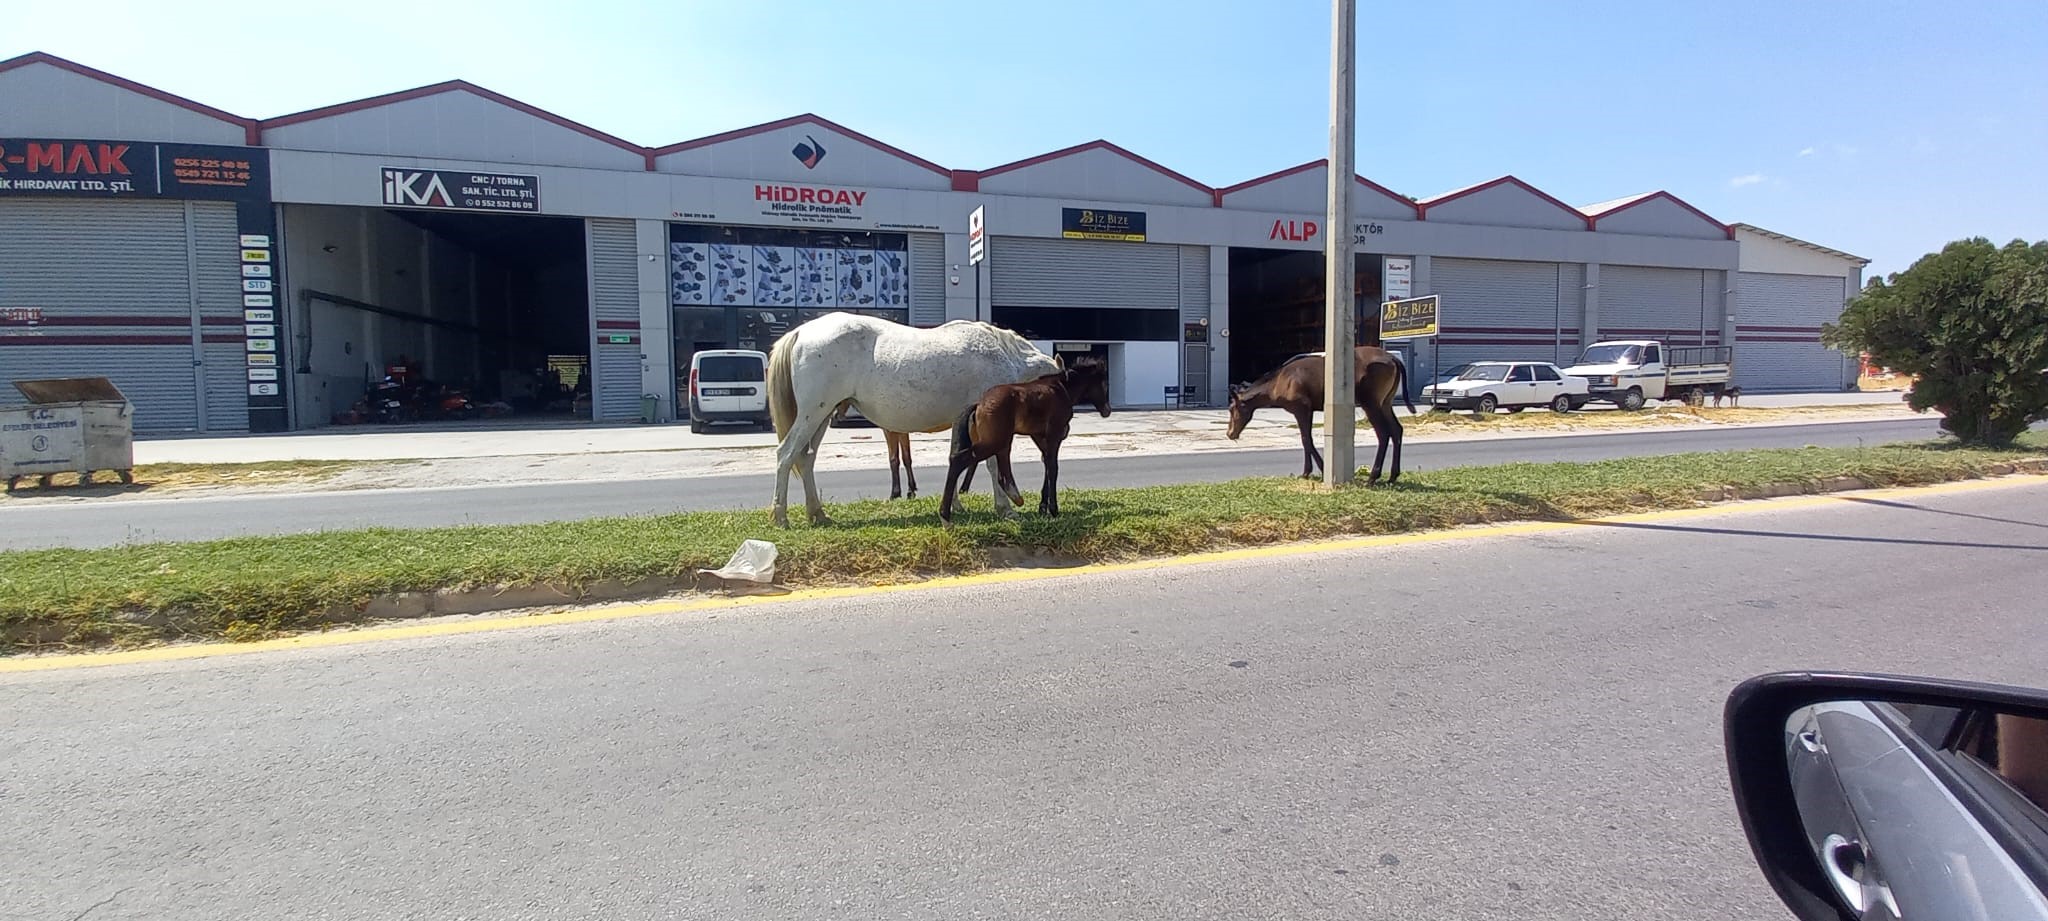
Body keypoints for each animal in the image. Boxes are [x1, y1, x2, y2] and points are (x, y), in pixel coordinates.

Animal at [770, 313, 1056, 523]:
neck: (1003, 357)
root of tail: (801, 332)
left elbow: (957, 457)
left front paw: (955, 504)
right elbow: (993, 463)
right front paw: (1006, 508)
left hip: (821, 416)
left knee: (805, 458)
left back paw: (817, 514)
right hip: (813, 413)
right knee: (786, 454)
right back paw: (781, 516)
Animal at [946, 356, 1114, 521]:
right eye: (1104, 384)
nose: (1107, 410)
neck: (1061, 389)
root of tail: (979, 405)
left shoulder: (1038, 436)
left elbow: (1046, 464)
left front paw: (1043, 507)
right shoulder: (1055, 435)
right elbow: (1053, 468)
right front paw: (1053, 509)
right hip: (995, 442)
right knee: (961, 460)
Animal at [1220, 347, 1417, 485]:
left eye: (1232, 408)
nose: (1230, 433)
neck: (1277, 384)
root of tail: (1393, 359)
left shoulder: (1302, 408)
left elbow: (1306, 439)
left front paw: (1316, 470)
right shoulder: (1308, 410)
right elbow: (1306, 439)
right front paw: (1313, 470)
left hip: (1371, 403)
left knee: (1383, 433)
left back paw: (1372, 477)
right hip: (1385, 402)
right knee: (1397, 430)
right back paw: (1393, 475)